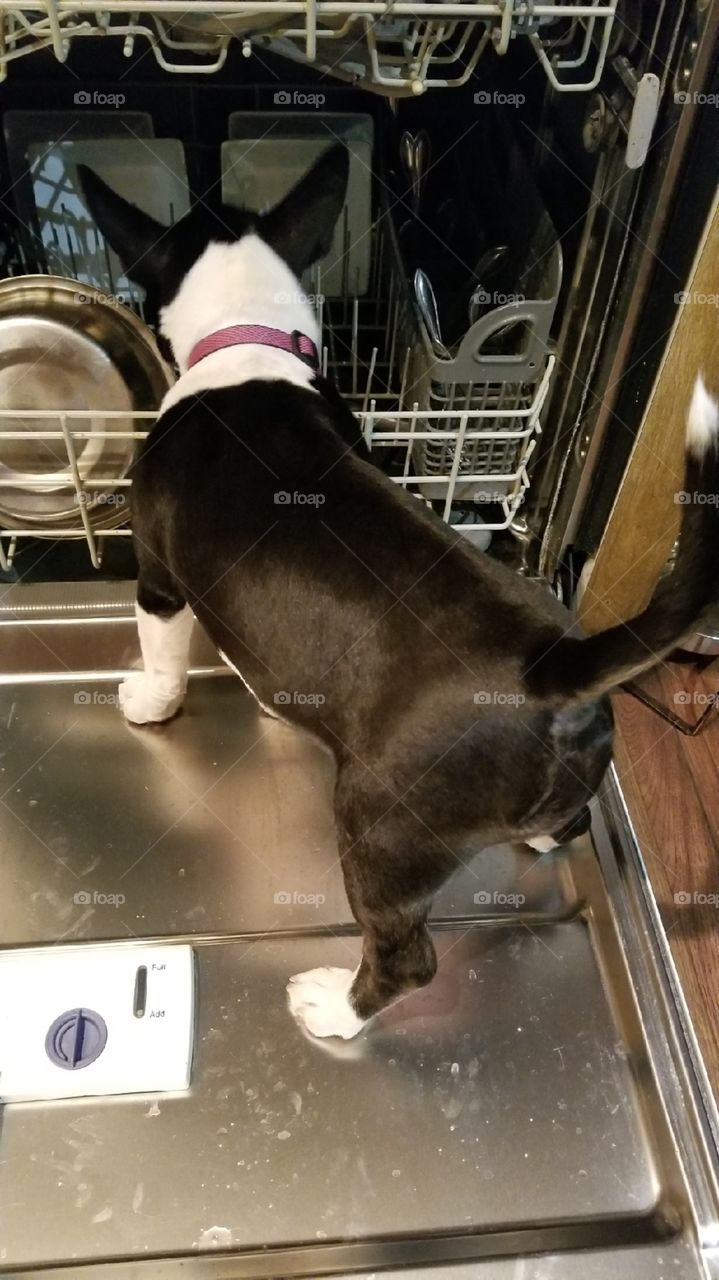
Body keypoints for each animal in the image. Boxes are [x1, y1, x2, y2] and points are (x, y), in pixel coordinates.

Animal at [79, 145, 716, 1039]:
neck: (243, 341)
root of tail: (550, 666)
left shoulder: (160, 577)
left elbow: (163, 652)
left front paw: (149, 700)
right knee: (573, 819)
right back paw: (543, 837)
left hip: (381, 827)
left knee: (407, 958)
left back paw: (334, 1008)